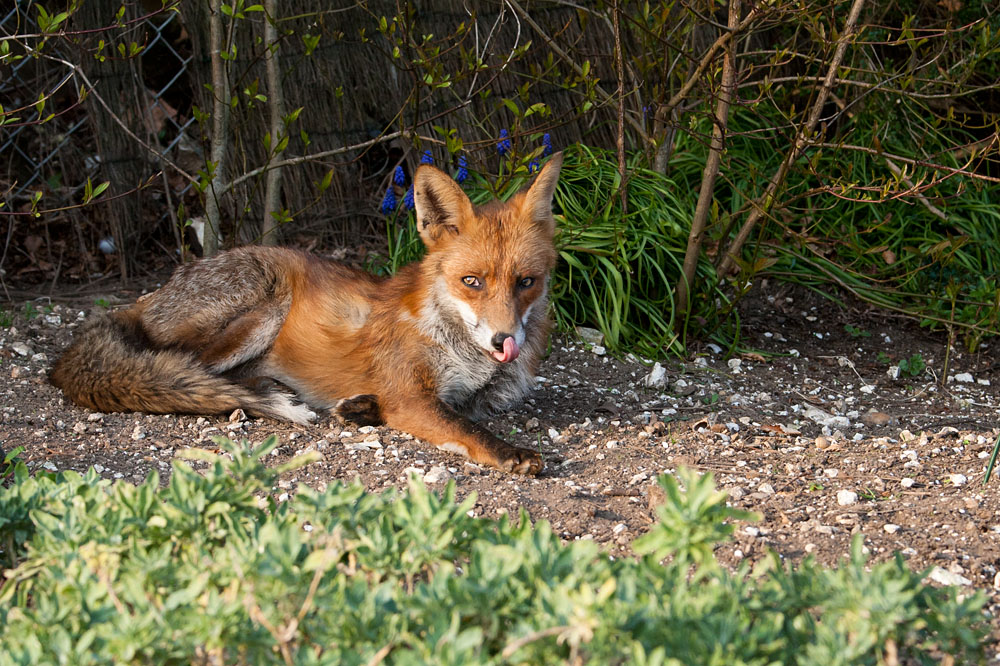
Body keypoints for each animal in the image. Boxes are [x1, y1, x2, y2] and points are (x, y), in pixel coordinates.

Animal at [50, 153, 564, 474]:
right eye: (471, 282)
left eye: (526, 282)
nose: (504, 341)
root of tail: (152, 294)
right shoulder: (411, 395)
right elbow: (465, 427)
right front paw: (510, 452)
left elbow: (460, 411)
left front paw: (360, 407)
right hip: (262, 303)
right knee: (177, 370)